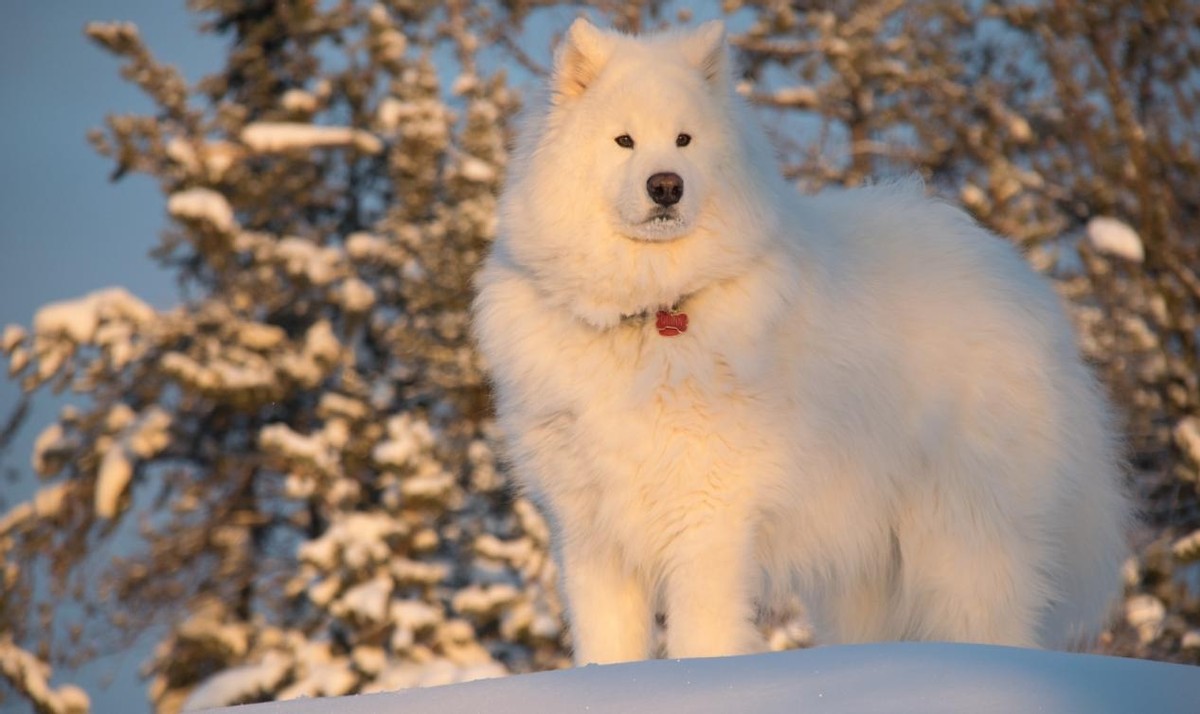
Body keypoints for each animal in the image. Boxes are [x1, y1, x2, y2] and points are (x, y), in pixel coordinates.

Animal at [472, 16, 1128, 667]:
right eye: (624, 141)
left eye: (684, 140)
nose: (666, 186)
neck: (651, 313)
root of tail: (1023, 280)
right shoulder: (591, 532)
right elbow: (606, 650)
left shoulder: (708, 520)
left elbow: (699, 638)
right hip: (869, 568)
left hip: (961, 544)